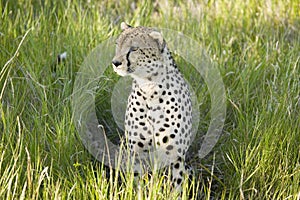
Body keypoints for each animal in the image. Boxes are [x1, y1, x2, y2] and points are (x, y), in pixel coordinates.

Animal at [112, 22, 192, 190]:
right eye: (118, 44)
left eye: (134, 49)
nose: (115, 63)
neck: (149, 89)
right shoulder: (136, 153)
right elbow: (137, 184)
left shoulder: (175, 156)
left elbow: (176, 185)